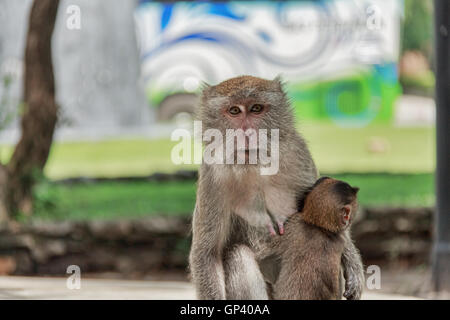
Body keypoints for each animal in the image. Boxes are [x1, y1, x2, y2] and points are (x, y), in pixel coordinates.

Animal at [188, 75, 364, 300]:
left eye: (256, 108)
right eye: (234, 110)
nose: (247, 133)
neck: (255, 165)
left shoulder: (298, 153)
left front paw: (353, 263)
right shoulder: (212, 174)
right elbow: (208, 254)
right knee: (238, 255)